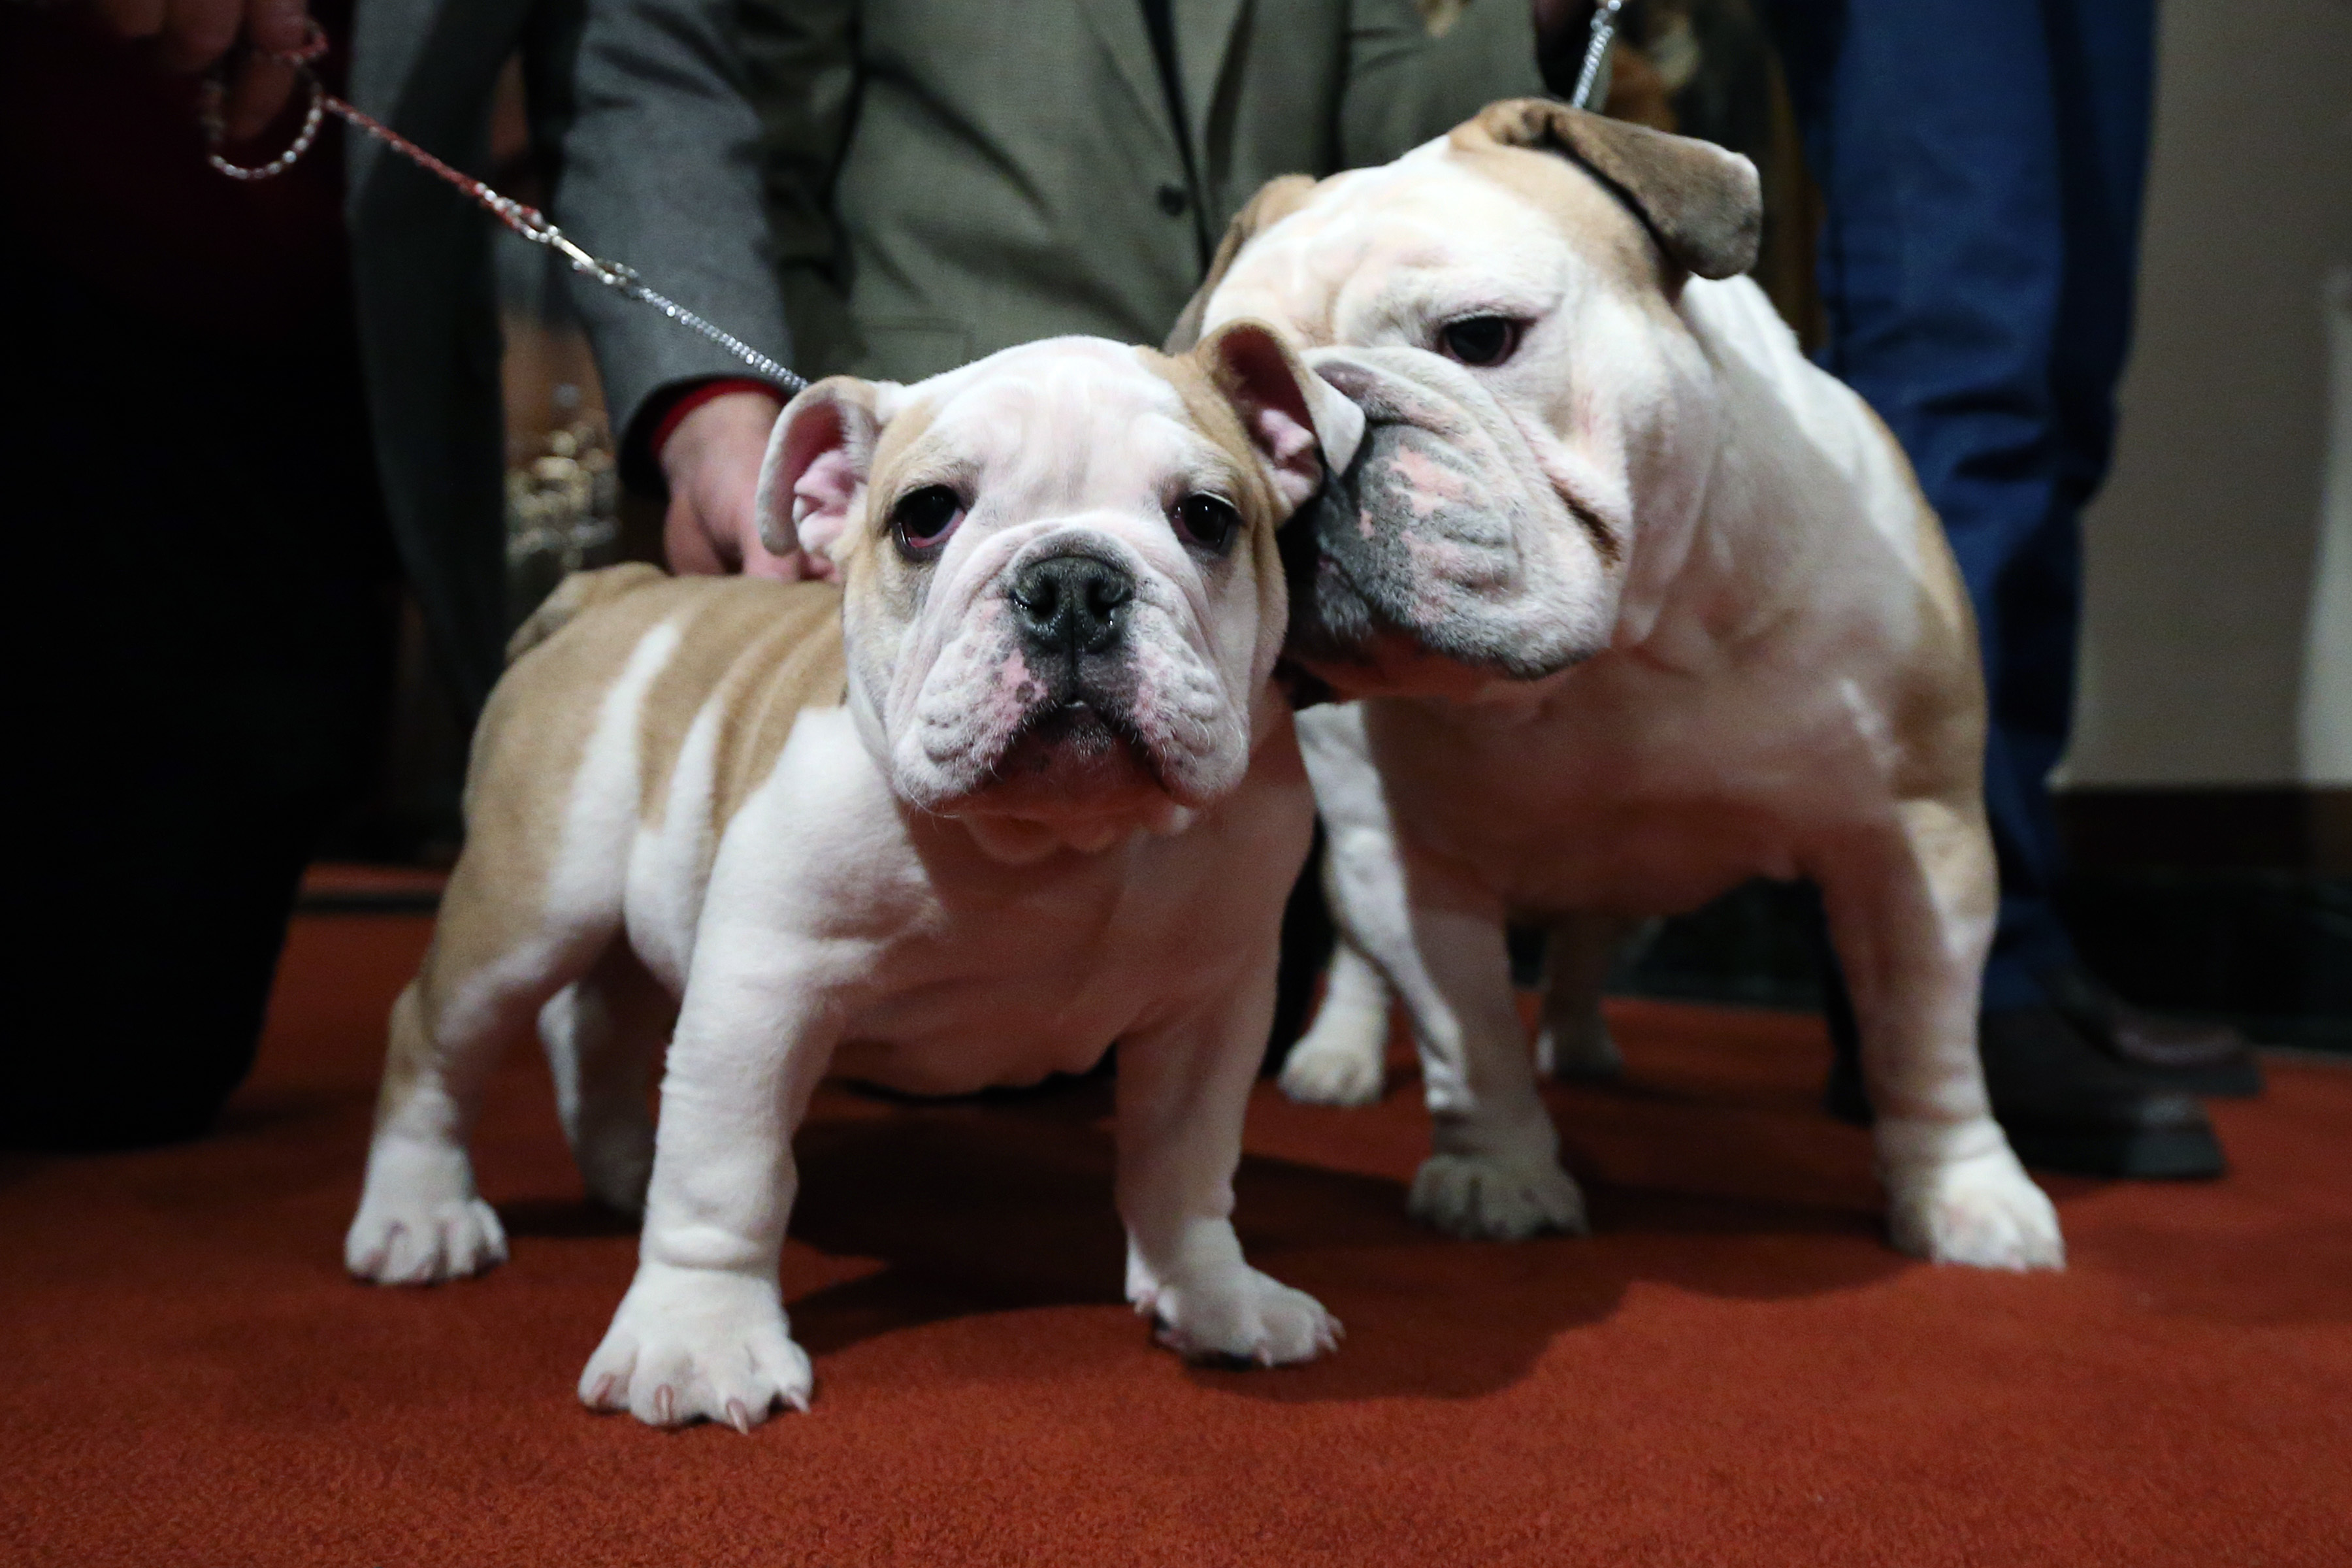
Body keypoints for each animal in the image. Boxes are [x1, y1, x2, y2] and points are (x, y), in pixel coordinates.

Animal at [343, 324, 1369, 1428]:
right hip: (527, 910)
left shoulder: (1213, 1004)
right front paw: (700, 1339)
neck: (1051, 839)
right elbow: (727, 1173)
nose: (1073, 584)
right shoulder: (759, 993)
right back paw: (420, 1216)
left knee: (596, 1022)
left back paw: (619, 1163)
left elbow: (1187, 1163)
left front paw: (1213, 1293)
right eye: (925, 517)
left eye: (1208, 518)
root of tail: (617, 591)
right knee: (436, 1037)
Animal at [1173, 99, 2065, 1271]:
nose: (1308, 443)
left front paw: (1964, 1191)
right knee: (1371, 965)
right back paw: (1341, 1053)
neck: (1619, 647)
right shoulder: (1402, 866)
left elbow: (1925, 1034)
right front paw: (1499, 1172)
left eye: (1479, 339)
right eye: (1241, 394)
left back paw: (1585, 1045)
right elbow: (1469, 1034)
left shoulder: (1915, 838)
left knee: (1592, 945)